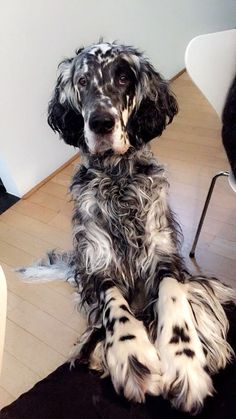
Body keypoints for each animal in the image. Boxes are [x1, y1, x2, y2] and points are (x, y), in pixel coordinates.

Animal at [20, 41, 236, 416]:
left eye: (123, 78)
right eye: (82, 80)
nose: (100, 123)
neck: (118, 182)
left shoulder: (165, 257)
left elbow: (174, 296)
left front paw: (183, 360)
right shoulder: (98, 266)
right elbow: (115, 308)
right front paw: (131, 353)